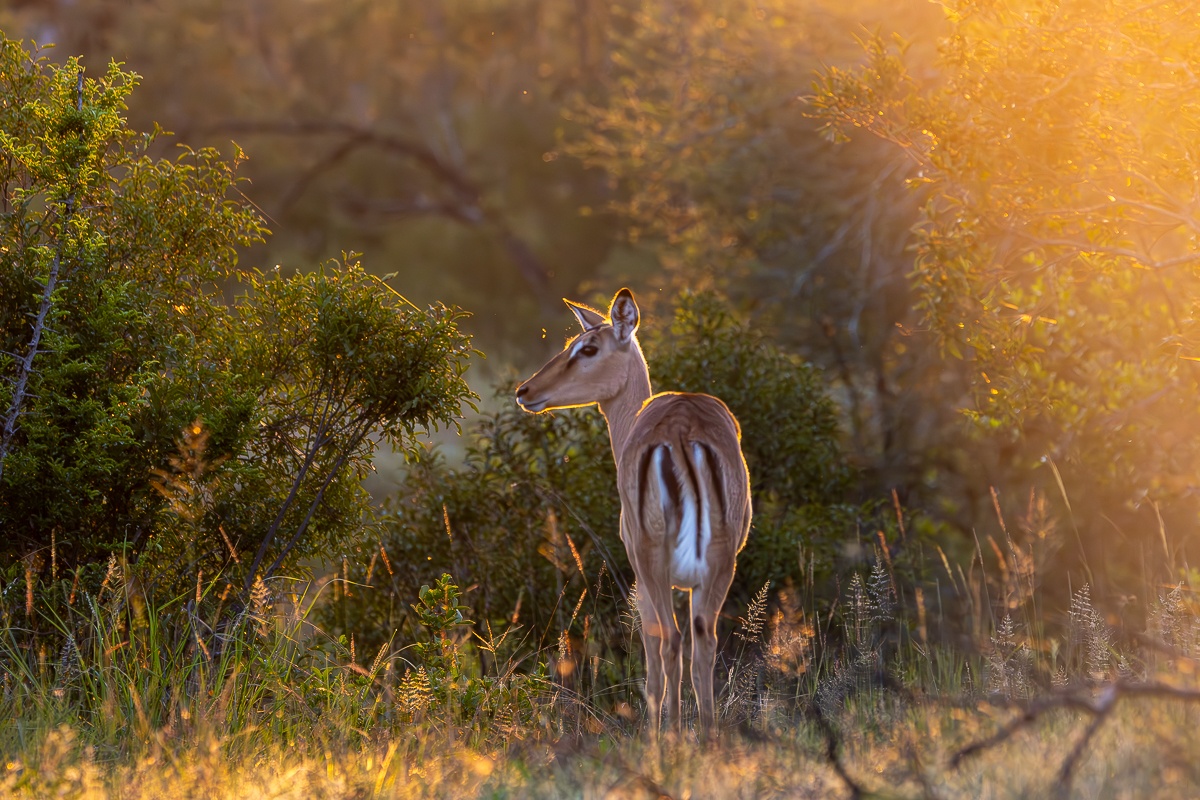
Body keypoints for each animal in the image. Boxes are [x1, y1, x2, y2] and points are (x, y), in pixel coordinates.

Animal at [516, 288, 751, 740]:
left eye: (588, 348)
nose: (525, 390)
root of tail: (681, 431)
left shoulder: (639, 575)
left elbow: (653, 655)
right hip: (720, 563)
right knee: (704, 643)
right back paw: (707, 739)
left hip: (652, 563)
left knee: (670, 641)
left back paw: (668, 739)